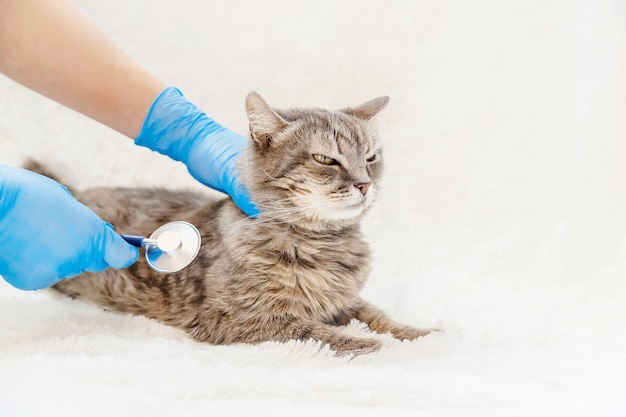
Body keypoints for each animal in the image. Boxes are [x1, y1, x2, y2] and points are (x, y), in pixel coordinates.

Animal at [25, 92, 434, 354]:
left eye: (371, 158)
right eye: (325, 159)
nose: (365, 184)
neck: (320, 241)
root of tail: (76, 193)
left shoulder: (344, 300)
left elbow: (376, 313)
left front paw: (418, 332)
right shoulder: (240, 320)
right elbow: (312, 331)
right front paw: (366, 343)